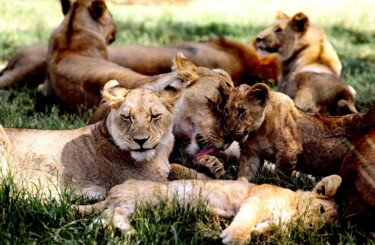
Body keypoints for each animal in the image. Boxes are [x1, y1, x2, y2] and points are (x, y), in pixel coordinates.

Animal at [77, 175, 344, 244]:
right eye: (321, 210)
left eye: (325, 227)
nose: (311, 226)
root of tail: (113, 191)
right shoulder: (256, 200)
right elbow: (246, 219)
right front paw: (236, 238)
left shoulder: (279, 220)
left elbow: (272, 226)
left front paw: (259, 233)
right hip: (144, 199)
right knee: (110, 214)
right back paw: (130, 233)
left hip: (136, 204)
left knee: (104, 216)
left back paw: (123, 232)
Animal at [222, 83, 366, 183]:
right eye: (225, 111)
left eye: (242, 111)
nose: (228, 131)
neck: (257, 131)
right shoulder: (251, 154)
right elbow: (243, 174)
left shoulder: (289, 151)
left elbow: (278, 180)